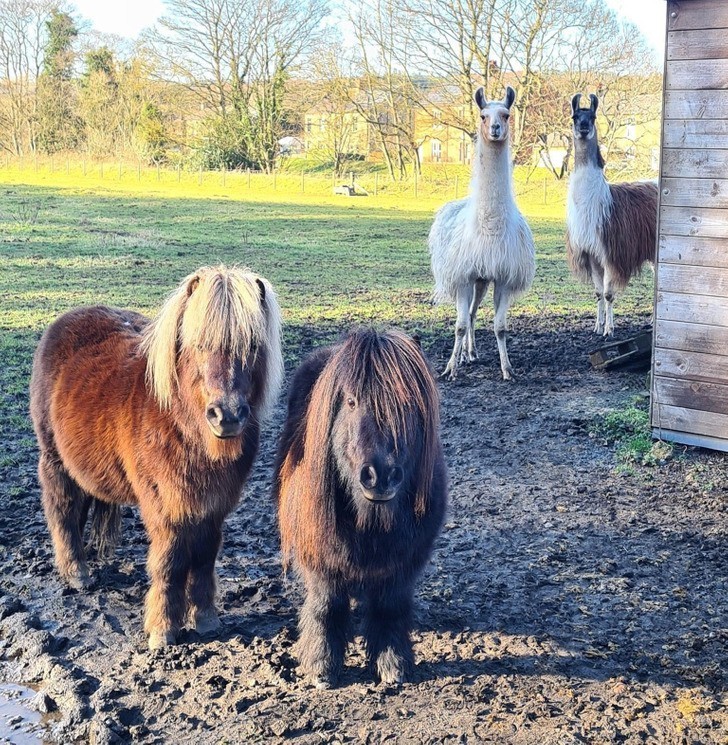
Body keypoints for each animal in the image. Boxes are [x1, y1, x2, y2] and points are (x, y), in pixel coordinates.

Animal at [30, 264, 282, 648]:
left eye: (252, 345)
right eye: (199, 344)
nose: (226, 415)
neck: (181, 423)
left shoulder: (212, 507)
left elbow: (204, 557)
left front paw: (206, 618)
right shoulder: (166, 508)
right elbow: (170, 562)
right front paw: (163, 629)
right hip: (55, 459)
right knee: (63, 510)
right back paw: (76, 572)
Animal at [272, 328, 446, 688]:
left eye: (407, 403)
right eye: (351, 401)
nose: (380, 475)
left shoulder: (403, 562)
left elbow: (389, 606)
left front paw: (392, 662)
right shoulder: (320, 558)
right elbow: (326, 606)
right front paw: (322, 665)